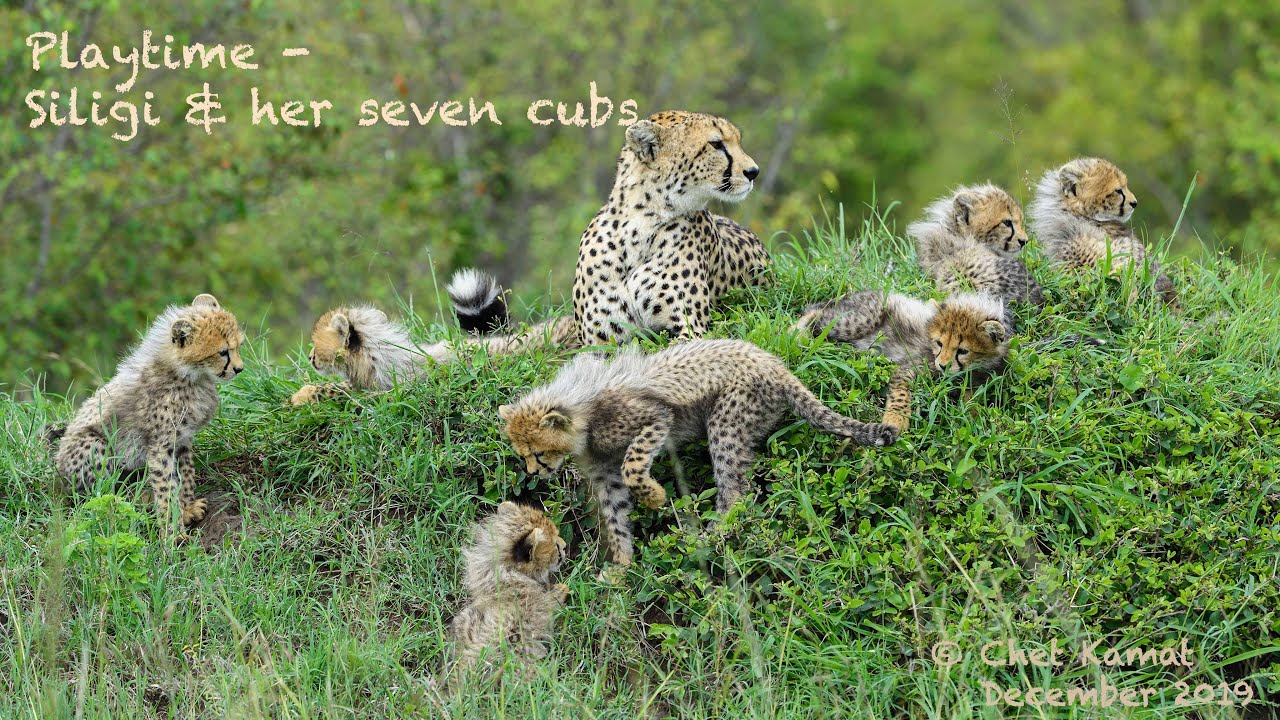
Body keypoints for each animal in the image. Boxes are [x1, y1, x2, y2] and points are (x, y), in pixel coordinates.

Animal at [48, 294, 244, 532]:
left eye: (238, 346)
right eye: (223, 352)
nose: (239, 369)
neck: (189, 376)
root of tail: (59, 475)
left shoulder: (182, 438)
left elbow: (185, 472)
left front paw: (187, 507)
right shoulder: (160, 444)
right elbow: (166, 485)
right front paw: (173, 531)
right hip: (95, 445)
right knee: (99, 494)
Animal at [498, 339, 898, 568]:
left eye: (537, 453)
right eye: (523, 454)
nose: (532, 473)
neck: (583, 414)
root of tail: (775, 364)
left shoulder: (655, 418)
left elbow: (633, 465)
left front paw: (655, 497)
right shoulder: (604, 473)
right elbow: (615, 516)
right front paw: (622, 567)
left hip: (726, 421)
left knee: (736, 491)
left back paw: (711, 536)